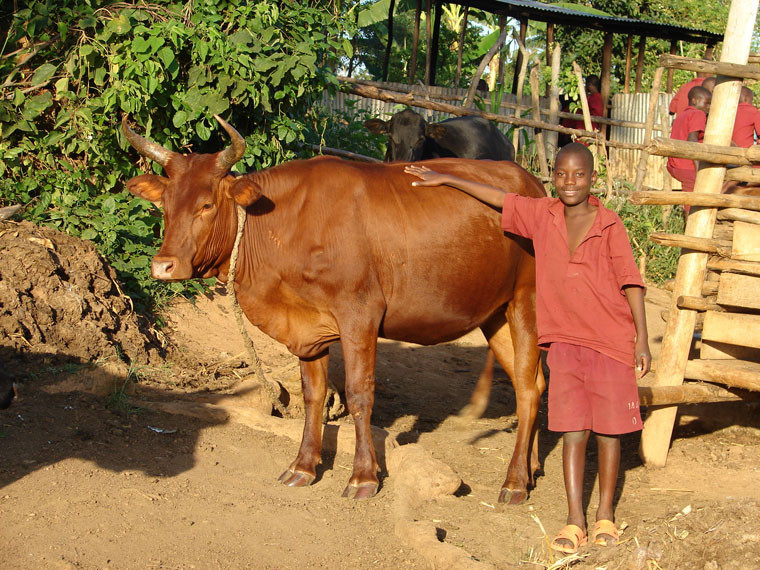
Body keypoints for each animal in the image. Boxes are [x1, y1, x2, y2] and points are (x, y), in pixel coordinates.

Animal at [120, 114, 548, 502]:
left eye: (207, 205)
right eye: (163, 204)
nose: (163, 265)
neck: (284, 225)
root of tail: (529, 182)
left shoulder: (360, 314)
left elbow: (359, 394)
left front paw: (363, 477)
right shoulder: (307, 326)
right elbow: (315, 394)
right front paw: (303, 466)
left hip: (526, 301)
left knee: (528, 388)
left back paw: (514, 482)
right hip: (496, 314)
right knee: (533, 382)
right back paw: (531, 469)